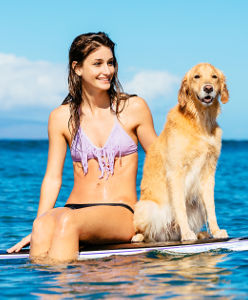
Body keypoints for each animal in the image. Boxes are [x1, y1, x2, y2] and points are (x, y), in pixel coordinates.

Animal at [133, 62, 230, 241]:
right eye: (197, 76)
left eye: (214, 76)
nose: (208, 88)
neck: (200, 122)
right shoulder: (176, 172)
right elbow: (180, 207)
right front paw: (186, 233)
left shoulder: (208, 173)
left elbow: (211, 208)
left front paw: (216, 230)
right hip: (147, 208)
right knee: (146, 232)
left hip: (196, 205)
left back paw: (200, 233)